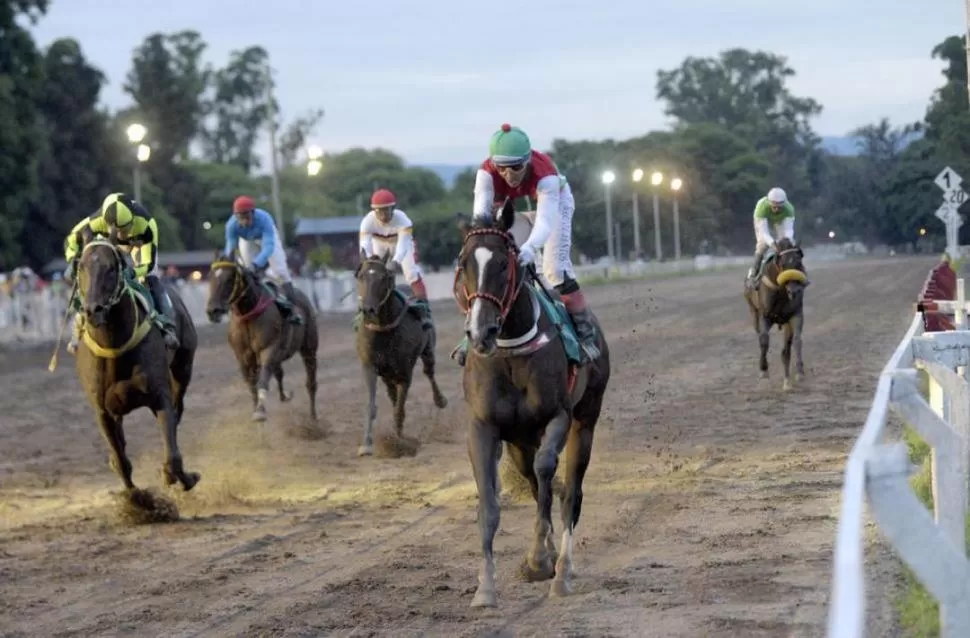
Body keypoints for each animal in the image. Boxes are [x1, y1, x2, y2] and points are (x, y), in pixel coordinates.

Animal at [73, 240, 200, 496]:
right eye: (81, 267)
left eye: (112, 268)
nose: (93, 310)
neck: (115, 348)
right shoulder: (102, 410)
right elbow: (122, 462)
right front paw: (136, 500)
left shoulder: (159, 394)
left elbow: (173, 456)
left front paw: (183, 478)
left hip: (183, 368)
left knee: (178, 408)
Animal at [204, 254, 318, 424]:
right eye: (210, 276)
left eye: (230, 278)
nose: (213, 310)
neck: (248, 315)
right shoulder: (243, 359)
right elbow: (252, 386)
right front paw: (255, 409)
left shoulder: (268, 349)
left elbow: (262, 381)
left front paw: (260, 412)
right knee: (279, 373)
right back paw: (285, 396)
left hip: (309, 348)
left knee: (311, 383)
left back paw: (313, 418)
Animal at [354, 248, 448, 458]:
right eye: (361, 276)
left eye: (384, 277)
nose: (368, 309)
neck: (383, 329)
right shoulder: (369, 367)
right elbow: (372, 405)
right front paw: (366, 444)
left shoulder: (405, 372)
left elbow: (400, 408)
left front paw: (398, 442)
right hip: (387, 374)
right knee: (392, 393)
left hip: (427, 352)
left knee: (429, 373)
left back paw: (440, 400)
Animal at [450, 205, 608, 608]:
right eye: (463, 262)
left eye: (504, 264)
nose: (481, 332)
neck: (511, 351)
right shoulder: (482, 427)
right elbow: (490, 503)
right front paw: (486, 587)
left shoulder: (558, 417)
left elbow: (549, 473)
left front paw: (539, 560)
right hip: (520, 441)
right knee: (537, 483)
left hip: (585, 420)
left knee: (569, 493)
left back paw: (561, 570)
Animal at [744, 238, 804, 392]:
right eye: (782, 264)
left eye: (799, 262)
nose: (794, 291)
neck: (781, 291)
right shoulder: (765, 316)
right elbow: (764, 341)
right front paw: (763, 370)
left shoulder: (794, 315)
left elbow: (795, 341)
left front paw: (798, 372)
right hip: (753, 312)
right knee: (760, 336)